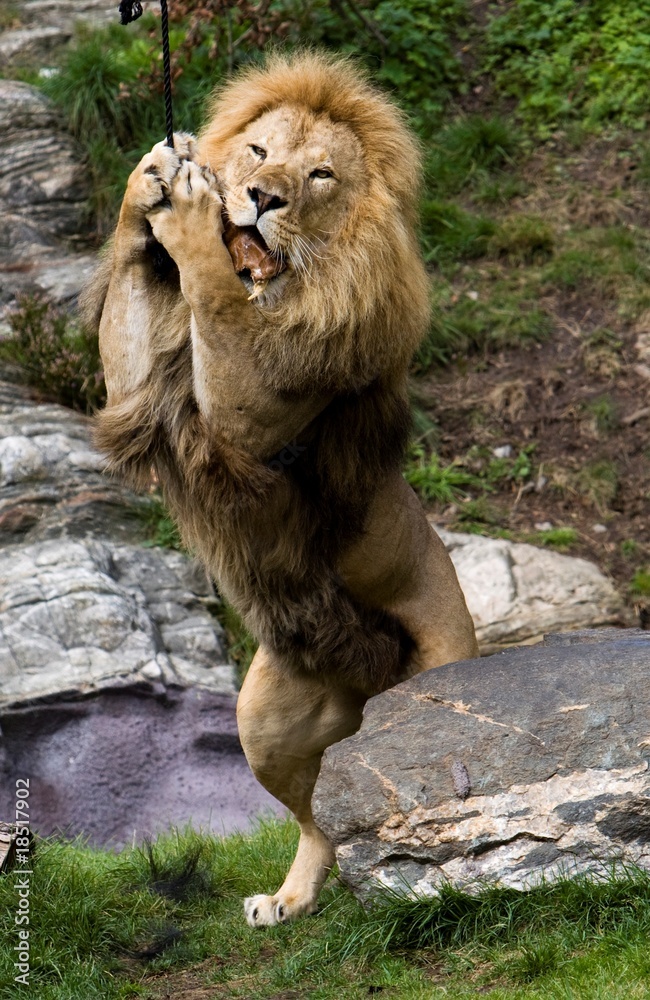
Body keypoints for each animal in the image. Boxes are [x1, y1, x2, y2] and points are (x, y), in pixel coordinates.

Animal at [82, 51, 478, 927]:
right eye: (261, 152)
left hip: (437, 689)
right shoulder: (138, 387)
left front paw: (193, 217)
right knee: (319, 818)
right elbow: (135, 316)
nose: (263, 198)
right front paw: (152, 177)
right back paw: (291, 901)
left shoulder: (257, 418)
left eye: (320, 174)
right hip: (264, 719)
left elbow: (215, 295)